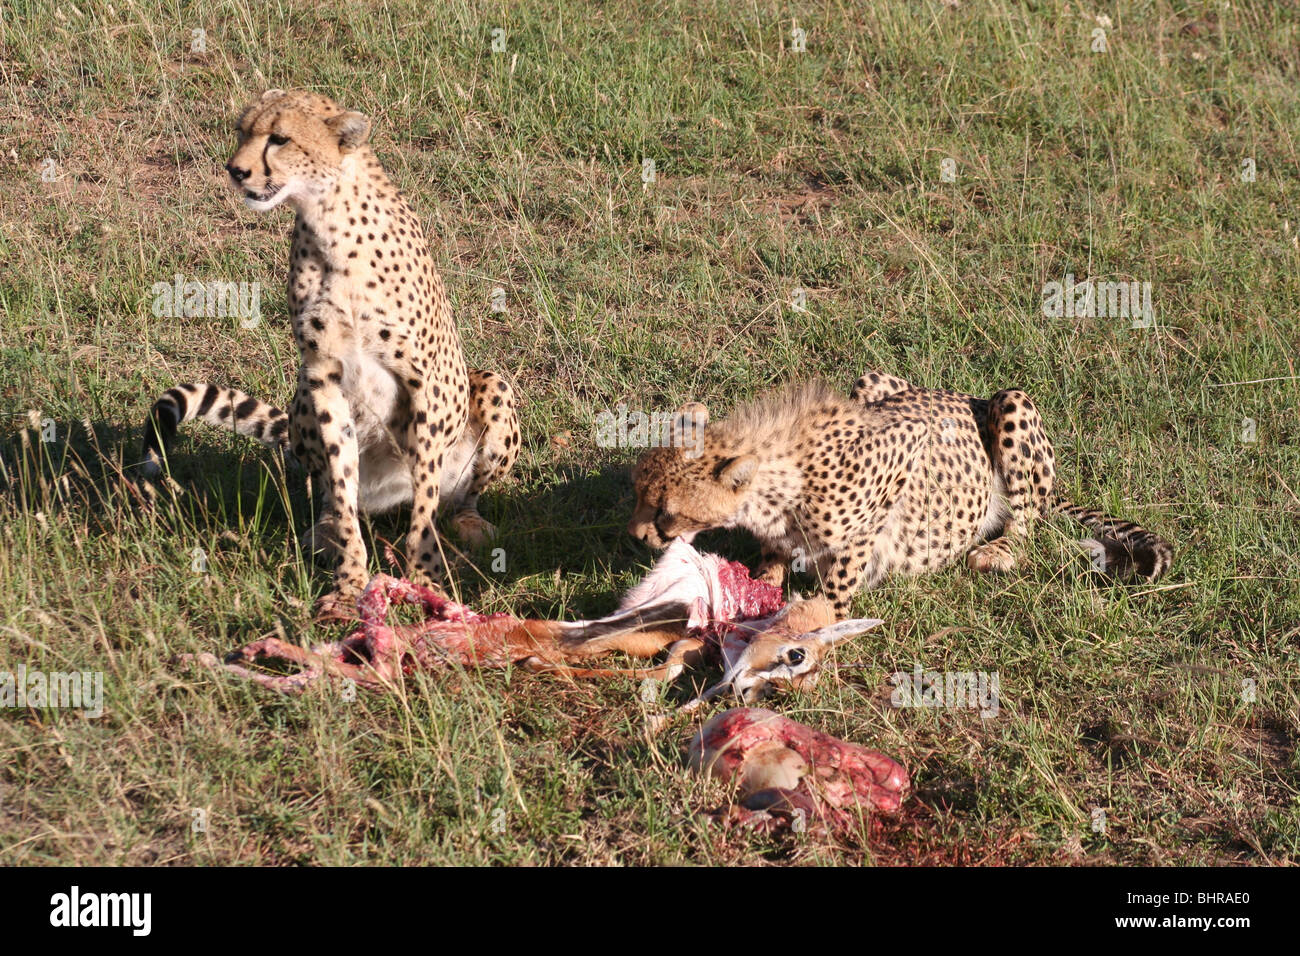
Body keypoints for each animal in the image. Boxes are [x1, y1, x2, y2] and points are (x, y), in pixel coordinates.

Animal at [143, 89, 522, 613]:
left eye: (280, 138)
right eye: (242, 131)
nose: (235, 170)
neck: (330, 221)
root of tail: (388, 496)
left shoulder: (423, 381)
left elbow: (425, 505)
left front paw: (424, 577)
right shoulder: (323, 372)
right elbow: (341, 485)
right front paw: (348, 582)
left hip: (489, 385)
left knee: (453, 496)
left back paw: (468, 520)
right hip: (303, 392)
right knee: (331, 490)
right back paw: (323, 530)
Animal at [624, 374, 1175, 613]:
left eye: (666, 511)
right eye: (636, 493)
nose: (635, 535)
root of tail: (971, 395)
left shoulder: (904, 452)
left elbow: (843, 575)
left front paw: (820, 622)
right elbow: (774, 555)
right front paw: (763, 581)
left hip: (1012, 403)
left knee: (1028, 520)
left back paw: (996, 550)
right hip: (871, 380)